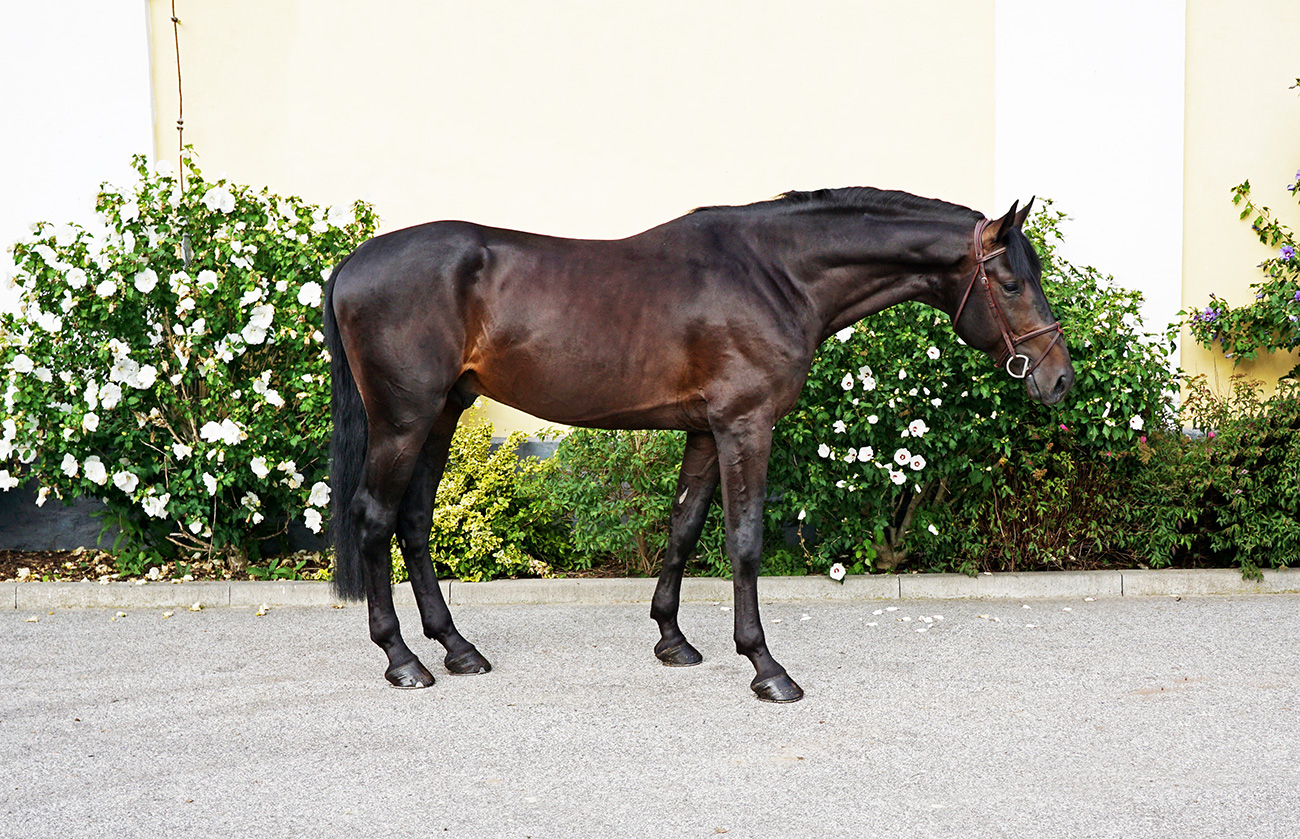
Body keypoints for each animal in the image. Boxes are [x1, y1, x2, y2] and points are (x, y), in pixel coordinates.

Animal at [323, 187, 1073, 703]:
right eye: (1011, 282)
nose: (1059, 379)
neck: (774, 275)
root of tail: (353, 263)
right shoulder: (746, 425)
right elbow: (744, 541)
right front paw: (766, 667)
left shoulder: (705, 431)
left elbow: (683, 527)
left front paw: (673, 640)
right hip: (404, 418)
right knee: (375, 518)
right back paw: (402, 660)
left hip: (442, 413)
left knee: (415, 520)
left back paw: (457, 648)